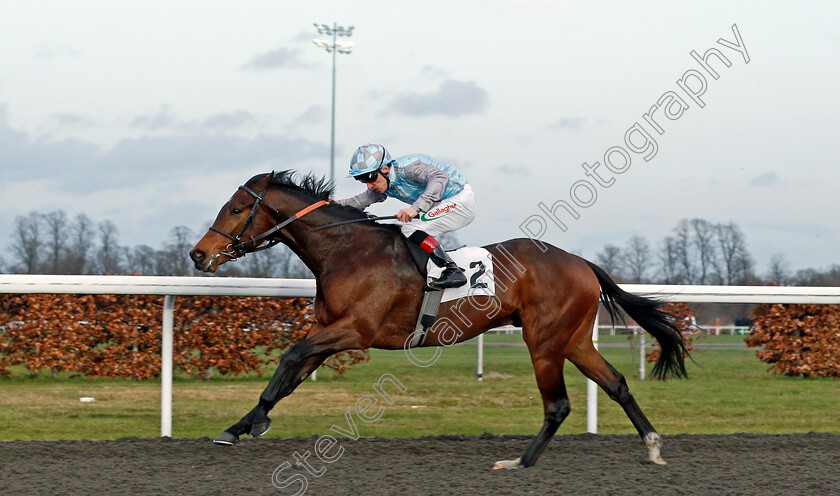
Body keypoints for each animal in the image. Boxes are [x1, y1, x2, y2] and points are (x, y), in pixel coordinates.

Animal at [187, 170, 684, 468]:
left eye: (236, 209)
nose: (198, 254)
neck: (346, 250)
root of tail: (582, 263)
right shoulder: (326, 330)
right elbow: (288, 376)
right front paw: (241, 425)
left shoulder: (355, 330)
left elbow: (289, 358)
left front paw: (250, 424)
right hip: (575, 339)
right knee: (616, 383)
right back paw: (653, 447)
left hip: (544, 342)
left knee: (557, 404)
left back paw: (520, 462)